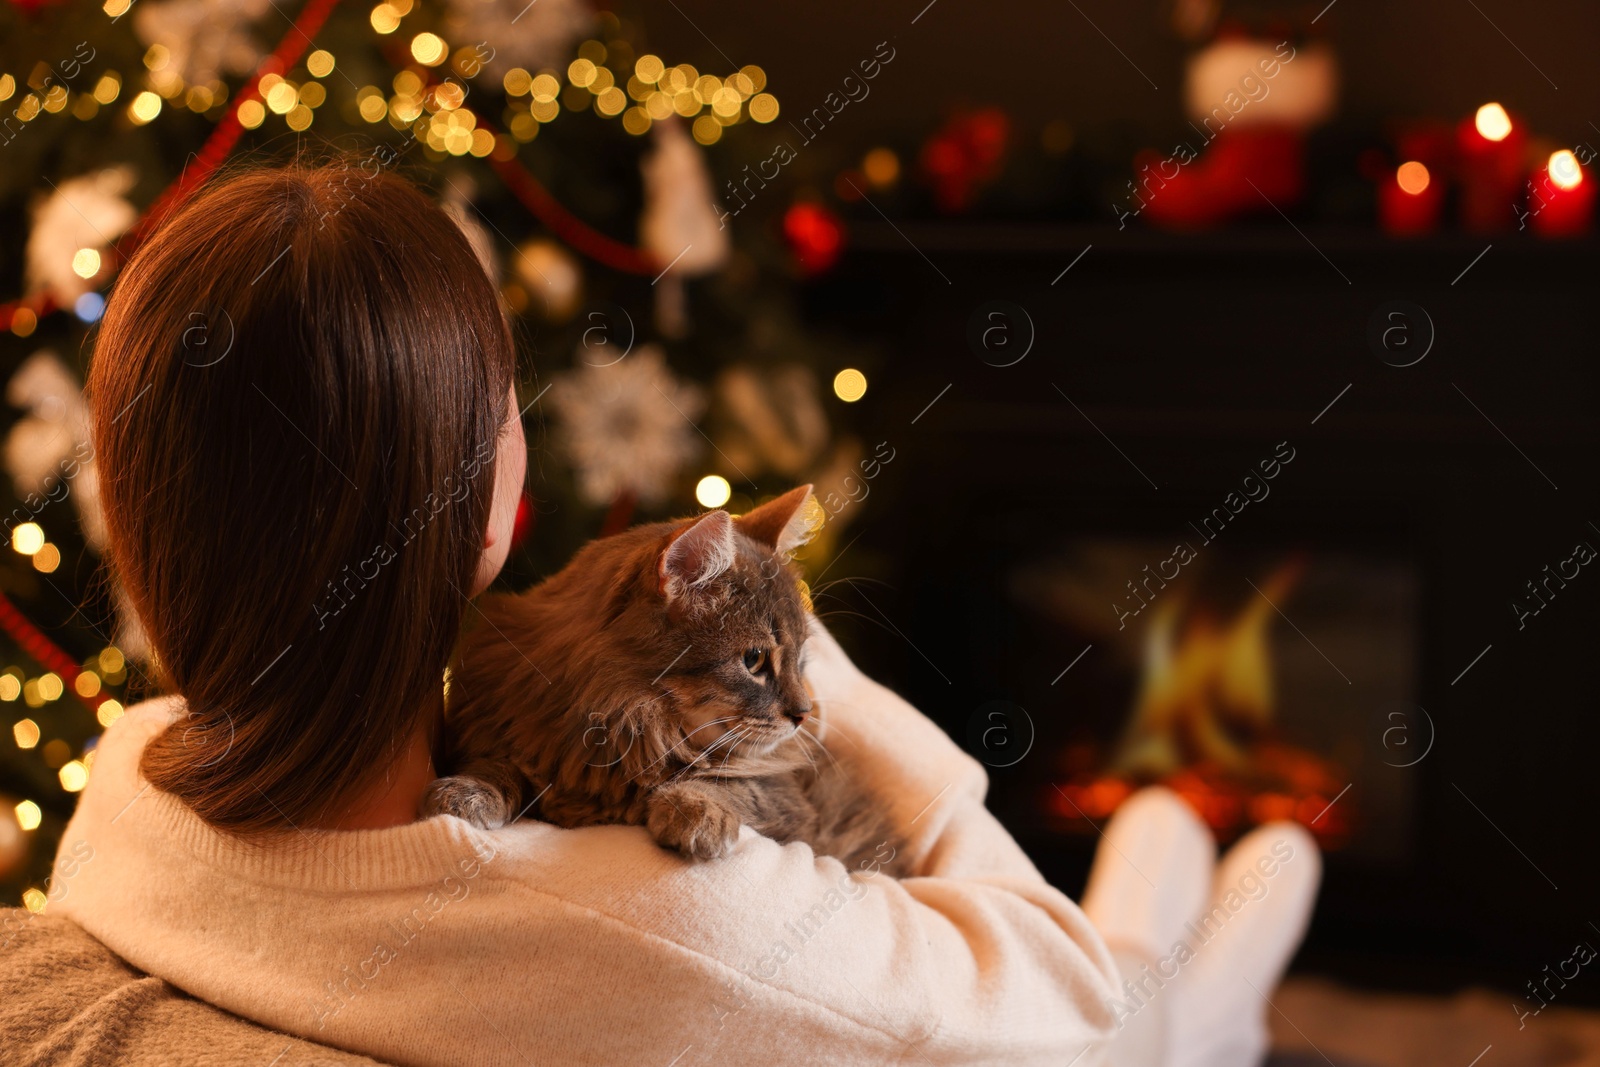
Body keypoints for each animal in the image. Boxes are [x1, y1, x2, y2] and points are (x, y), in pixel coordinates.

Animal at [422, 483, 902, 876]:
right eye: (754, 660)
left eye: (801, 660)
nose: (803, 715)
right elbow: (499, 763)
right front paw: (468, 792)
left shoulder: (788, 800)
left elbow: (725, 783)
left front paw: (695, 813)